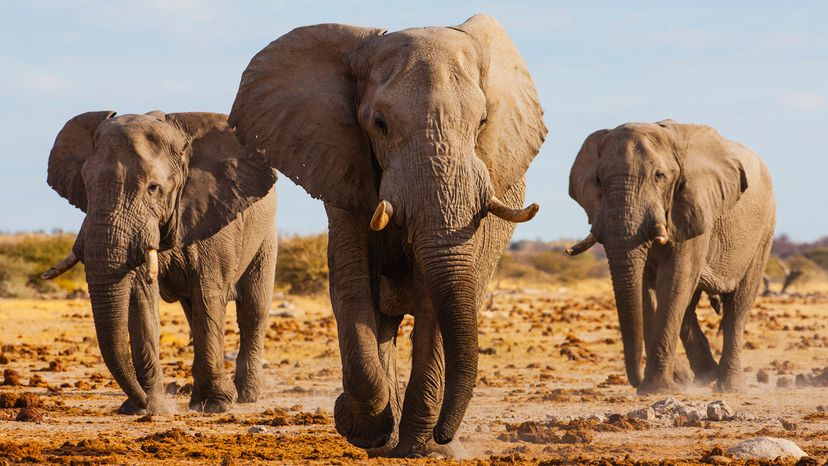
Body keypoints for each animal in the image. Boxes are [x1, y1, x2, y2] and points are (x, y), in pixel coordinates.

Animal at [42, 111, 278, 414]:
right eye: (85, 185)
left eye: (153, 188)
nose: (137, 400)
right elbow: (141, 298)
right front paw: (149, 409)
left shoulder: (214, 218)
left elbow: (208, 294)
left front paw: (214, 405)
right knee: (193, 311)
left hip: (266, 233)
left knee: (253, 308)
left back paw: (248, 395)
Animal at [230, 13, 548, 456]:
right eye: (379, 124)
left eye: (482, 122)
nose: (444, 433)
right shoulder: (343, 170)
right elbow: (352, 287)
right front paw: (359, 427)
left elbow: (436, 300)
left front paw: (421, 449)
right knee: (382, 322)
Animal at [568, 119, 776, 394]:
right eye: (599, 180)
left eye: (659, 176)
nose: (636, 381)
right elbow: (647, 288)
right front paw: (670, 384)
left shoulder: (695, 205)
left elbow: (675, 278)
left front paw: (656, 389)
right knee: (688, 305)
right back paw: (703, 377)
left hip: (764, 231)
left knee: (738, 304)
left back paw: (728, 386)